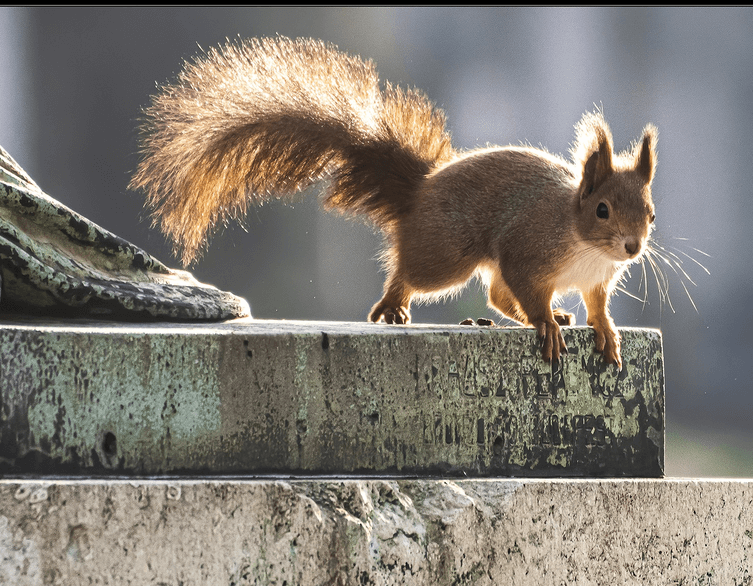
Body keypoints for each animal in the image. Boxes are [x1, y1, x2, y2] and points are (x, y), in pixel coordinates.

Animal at [130, 36, 657, 368]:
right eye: (603, 210)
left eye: (651, 213)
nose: (632, 247)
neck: (585, 246)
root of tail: (420, 189)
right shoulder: (528, 250)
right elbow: (527, 287)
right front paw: (546, 324)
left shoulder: (598, 279)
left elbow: (595, 304)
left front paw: (605, 330)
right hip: (448, 254)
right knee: (423, 273)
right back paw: (394, 304)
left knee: (494, 293)